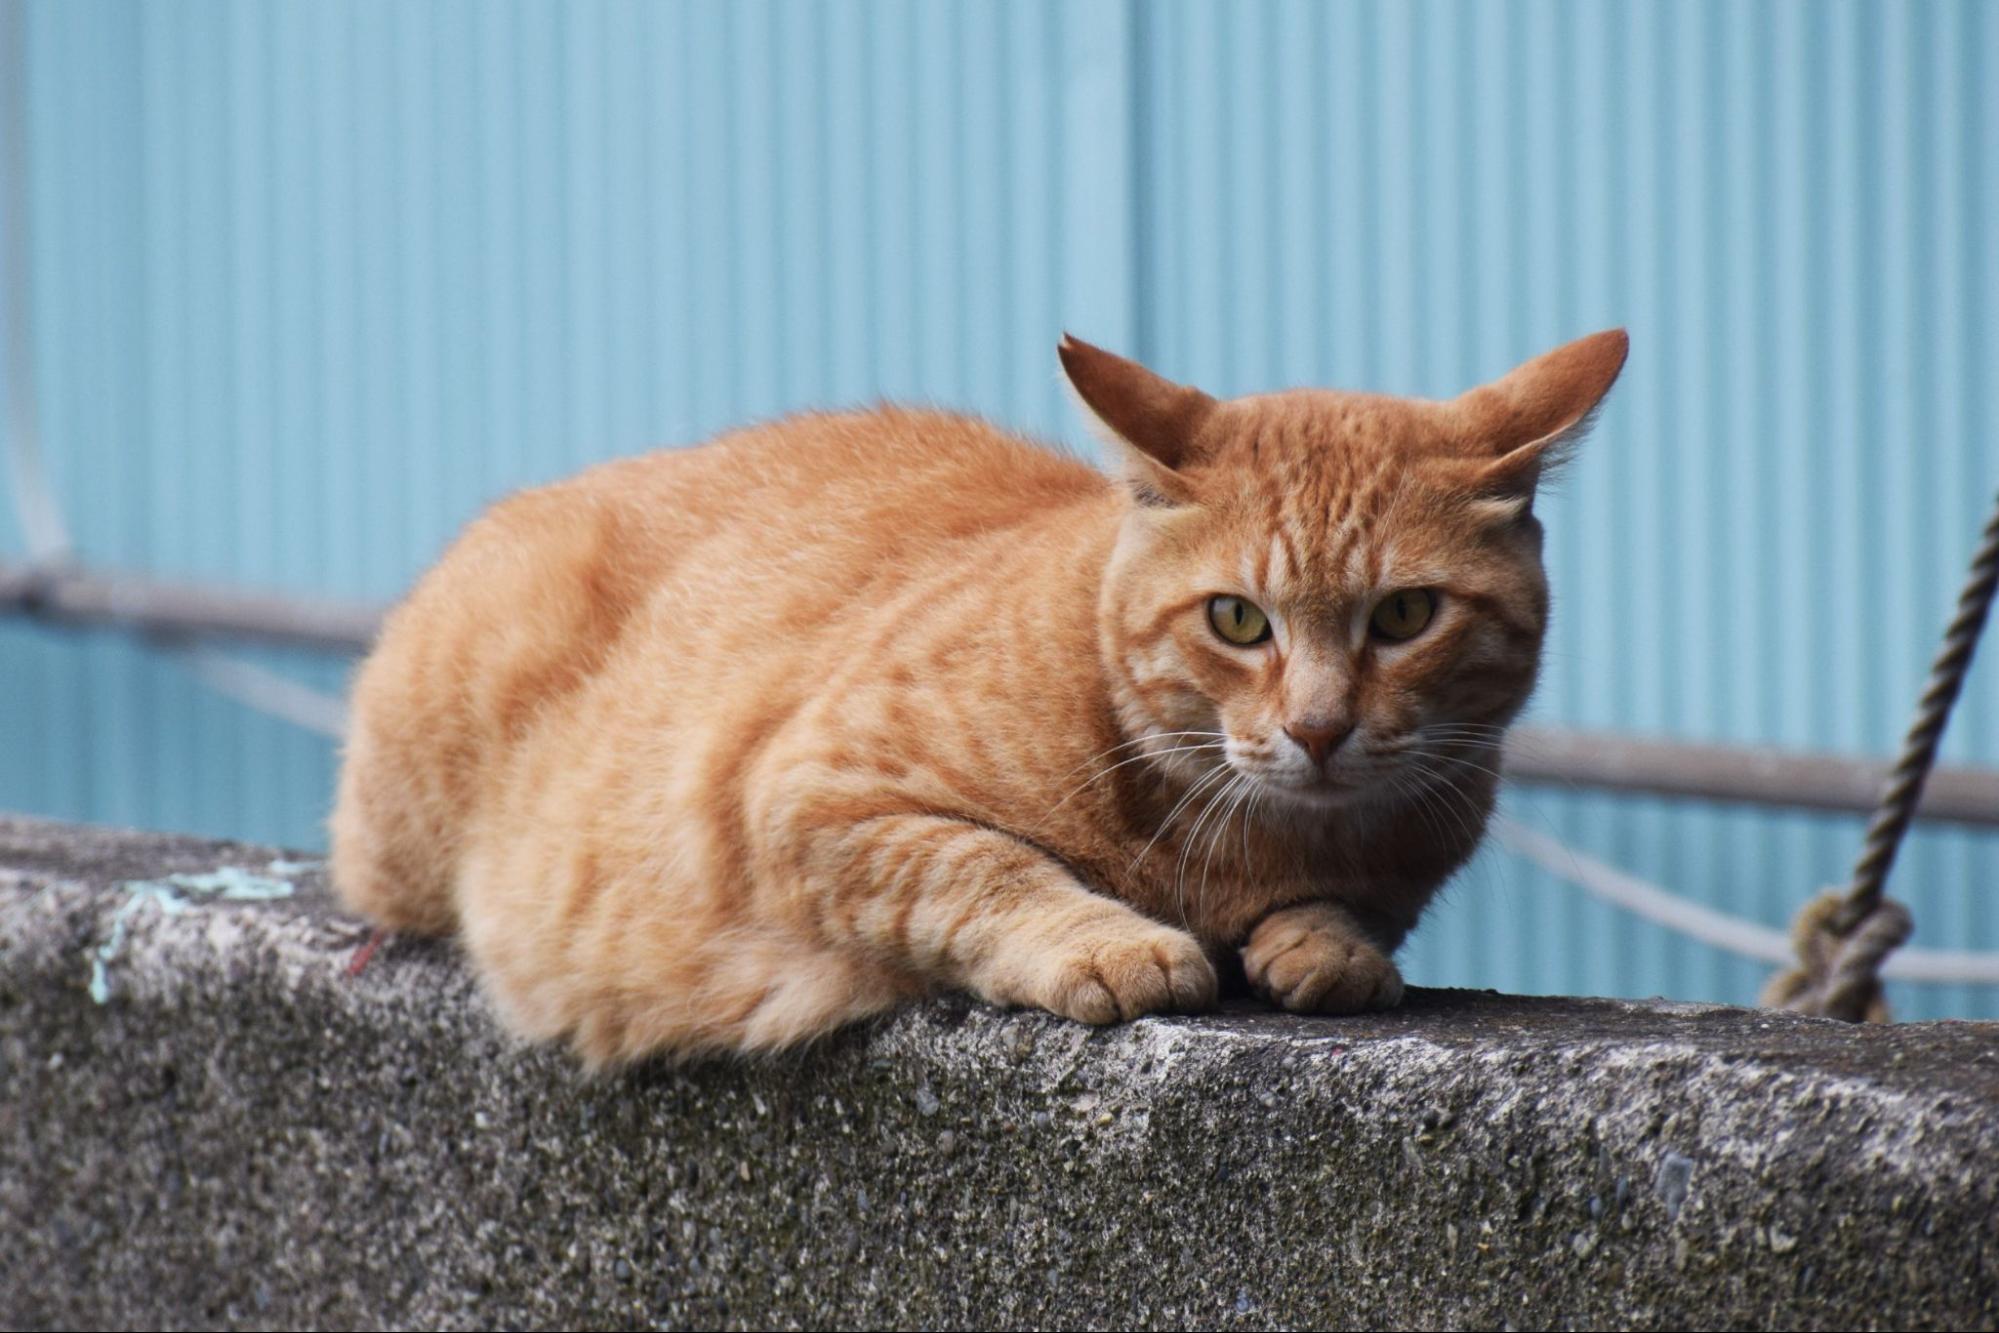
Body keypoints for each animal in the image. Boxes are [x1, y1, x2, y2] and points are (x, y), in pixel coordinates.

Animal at [331, 327, 1623, 1071]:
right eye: (1236, 620)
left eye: (1403, 616)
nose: (1316, 727)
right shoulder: (811, 793)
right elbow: (983, 867)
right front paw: (1109, 940)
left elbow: (1354, 912)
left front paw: (1326, 943)